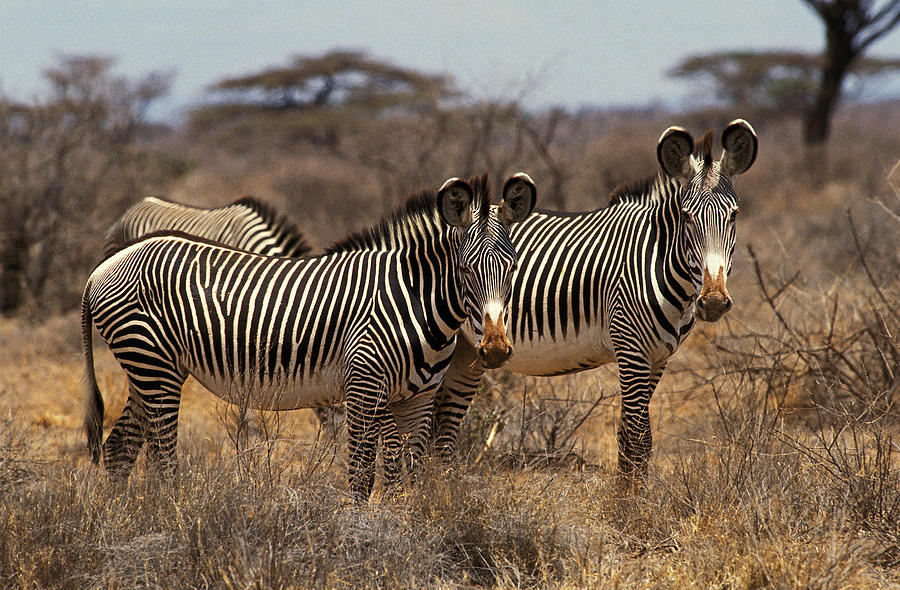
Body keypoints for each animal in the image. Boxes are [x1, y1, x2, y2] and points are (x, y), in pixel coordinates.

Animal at [432, 121, 756, 480]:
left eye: (734, 216)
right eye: (686, 217)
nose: (712, 302)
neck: (655, 258)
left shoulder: (658, 358)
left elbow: (635, 439)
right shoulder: (630, 349)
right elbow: (636, 439)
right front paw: (627, 498)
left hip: (467, 351)